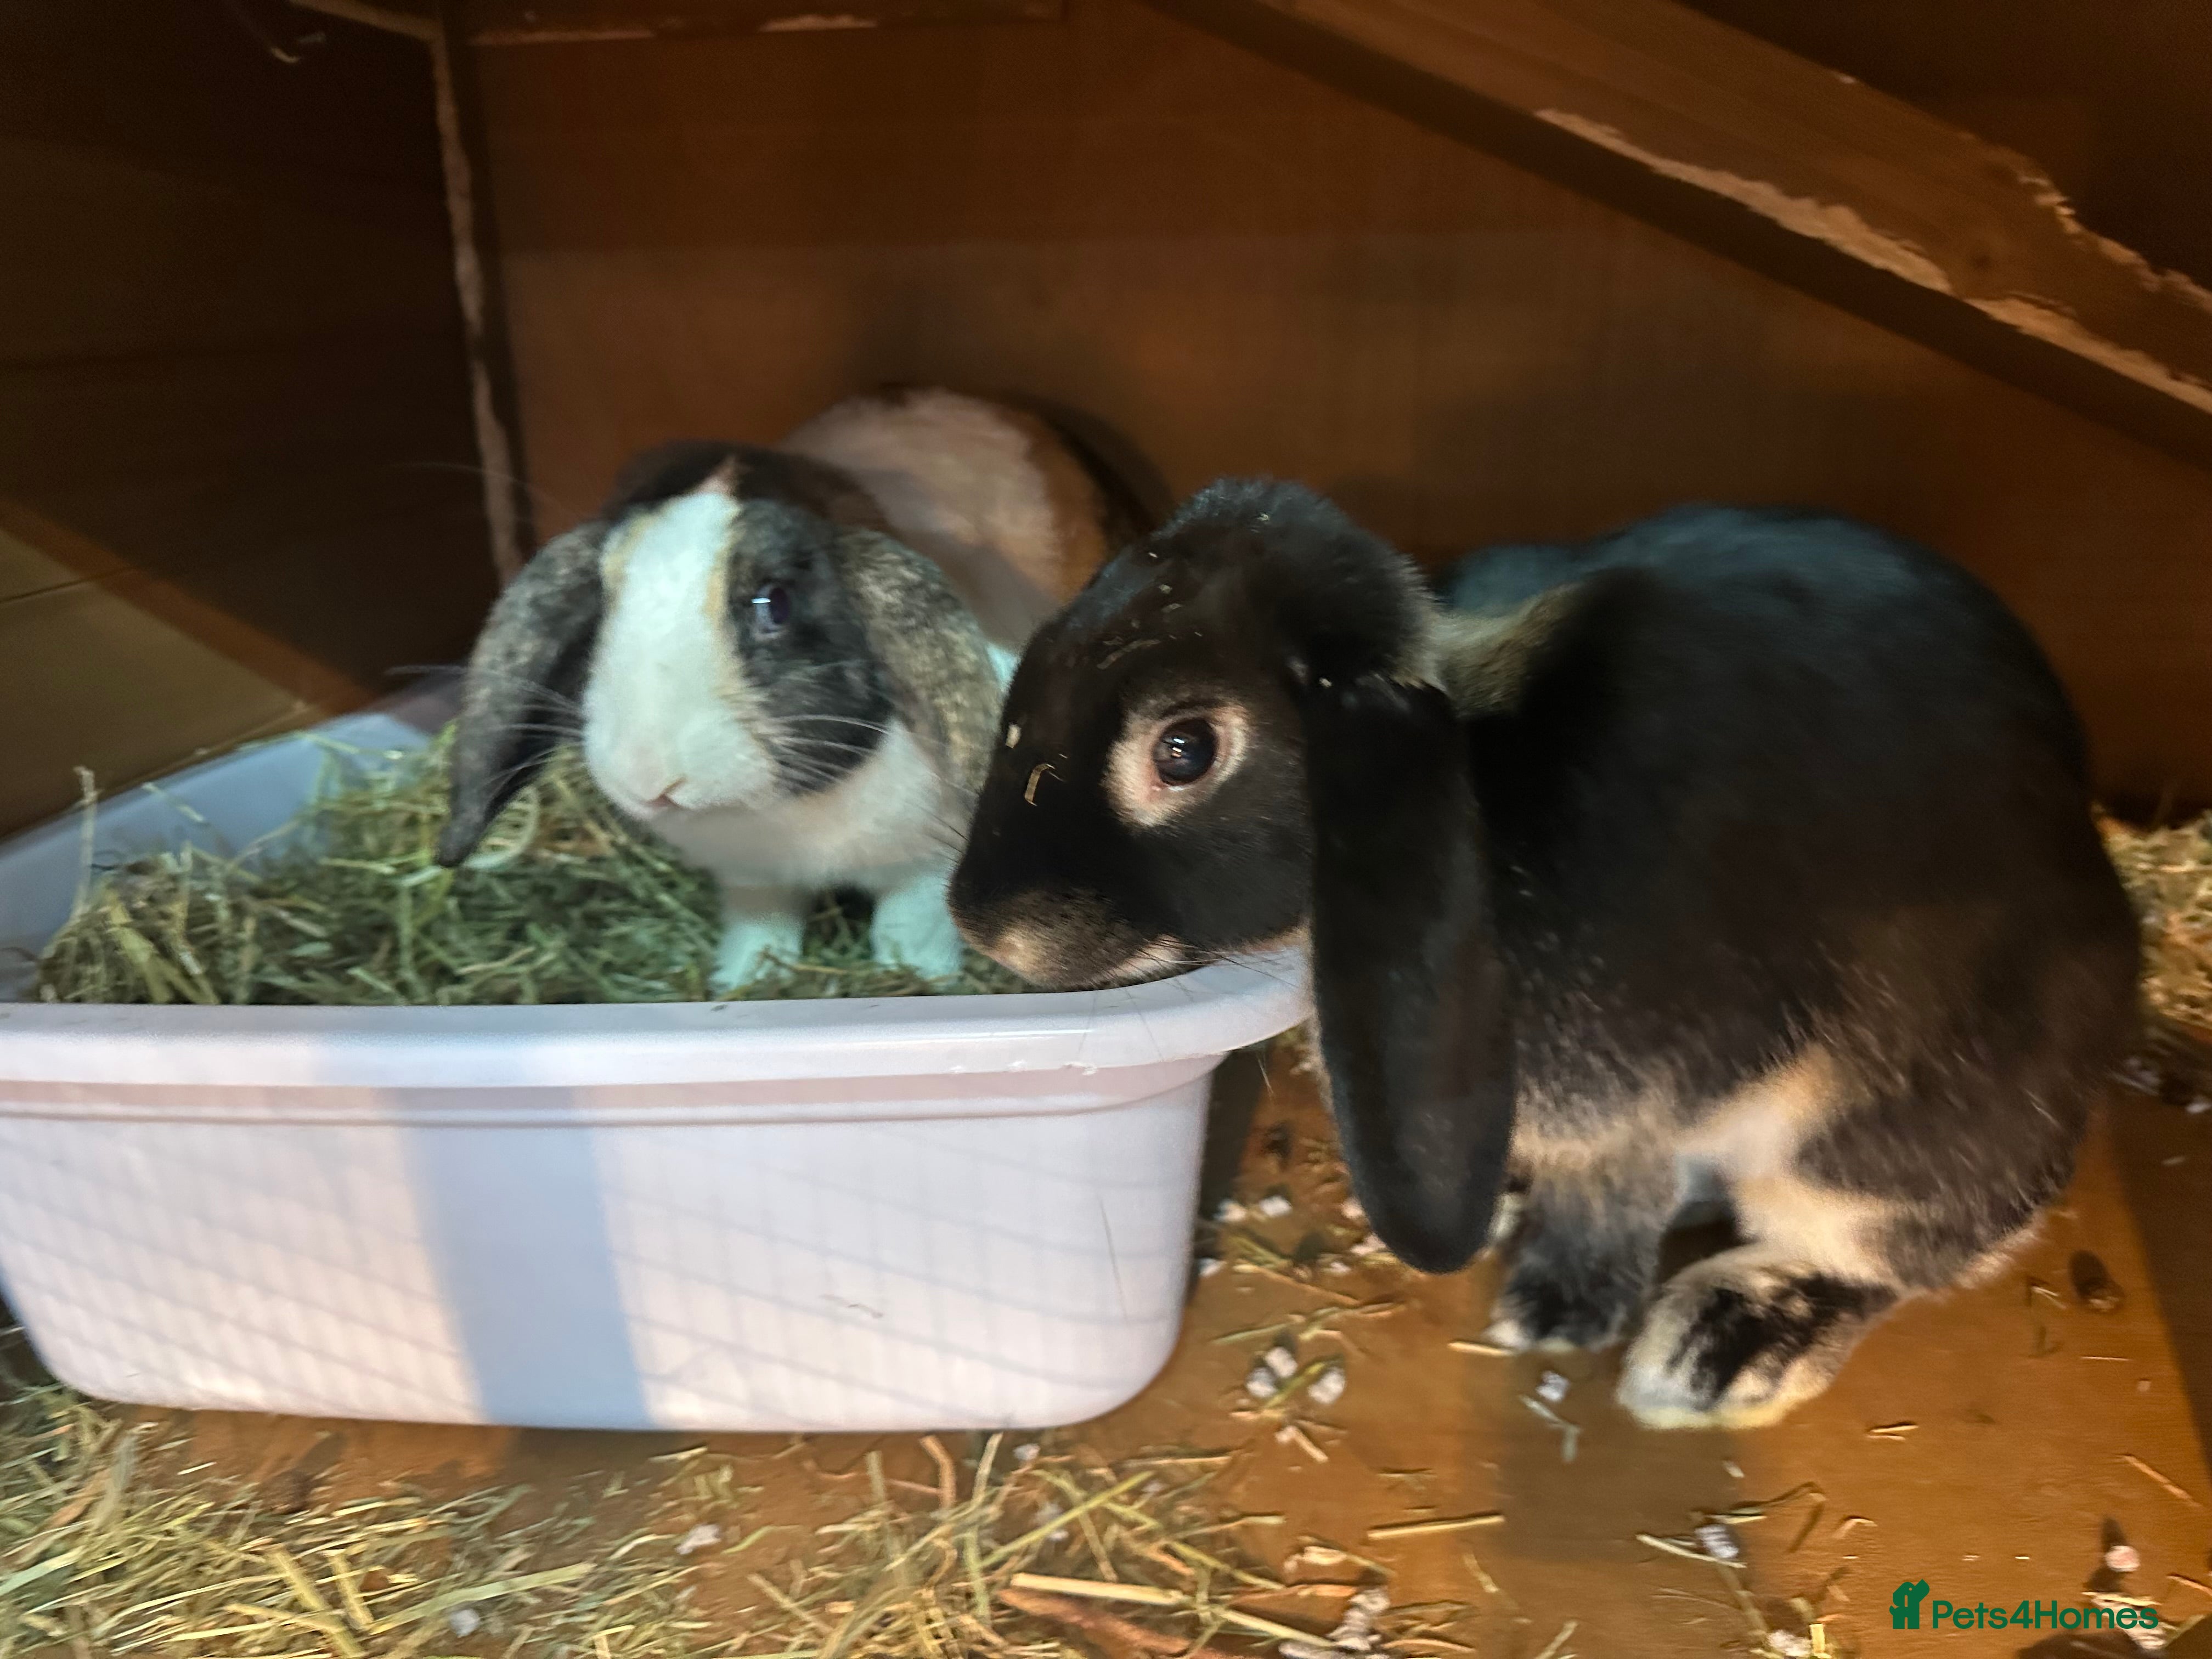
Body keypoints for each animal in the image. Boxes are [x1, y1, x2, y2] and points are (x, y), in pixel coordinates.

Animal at [435, 387, 1155, 990]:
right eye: (605, 595)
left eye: (774, 604)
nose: (647, 776)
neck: (789, 820)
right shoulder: (753, 882)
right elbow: (764, 927)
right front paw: (742, 982)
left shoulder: (925, 873)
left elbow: (909, 928)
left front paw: (915, 979)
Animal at [947, 480, 2140, 1429]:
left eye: (1186, 748)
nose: (981, 921)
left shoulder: (1633, 1091)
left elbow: (1611, 1189)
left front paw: (1560, 1311)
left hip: (1891, 1131)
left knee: (1886, 1246)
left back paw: (1726, 1348)